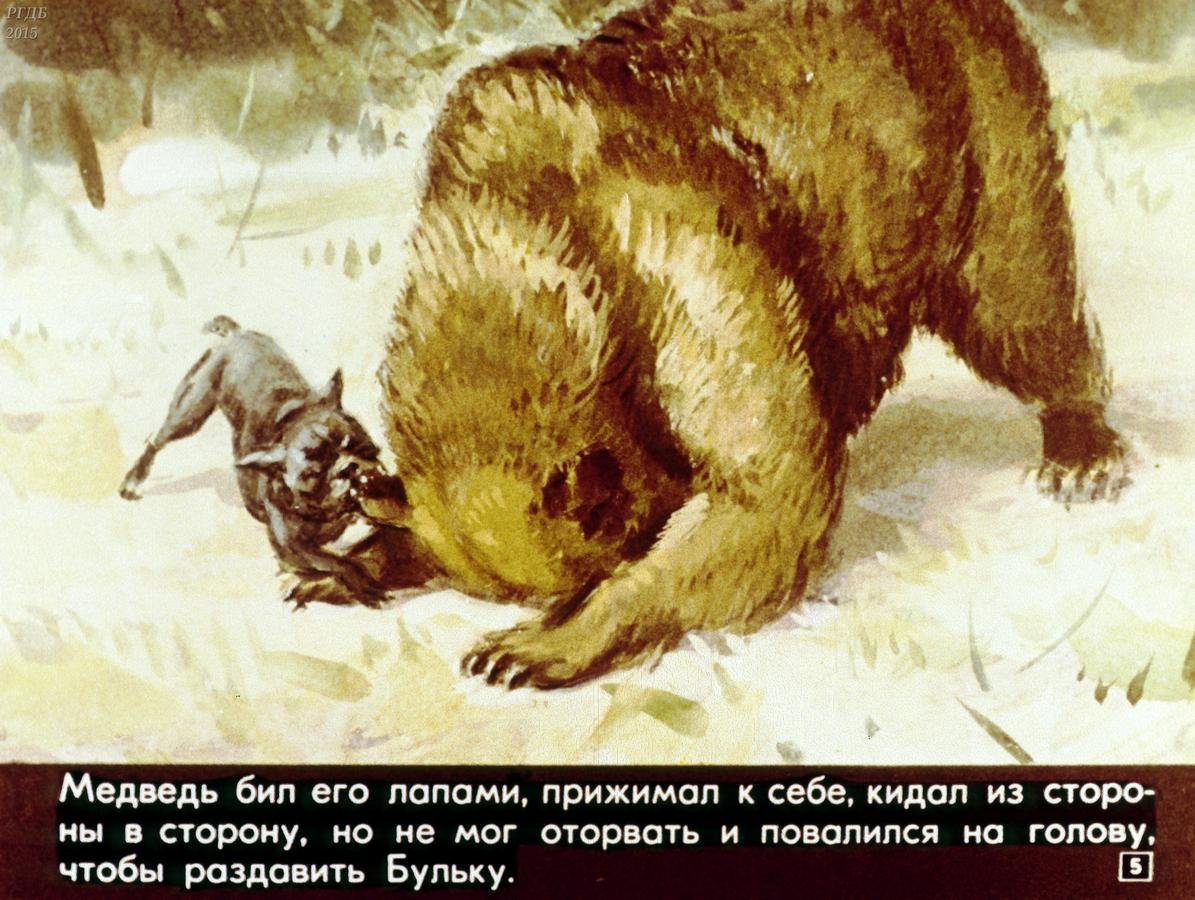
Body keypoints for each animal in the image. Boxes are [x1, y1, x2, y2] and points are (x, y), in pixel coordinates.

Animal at [372, 0, 1128, 689]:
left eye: (585, 588)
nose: (560, 609)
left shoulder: (680, 256)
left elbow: (771, 493)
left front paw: (555, 641)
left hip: (986, 116)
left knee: (1015, 294)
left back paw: (1079, 441)